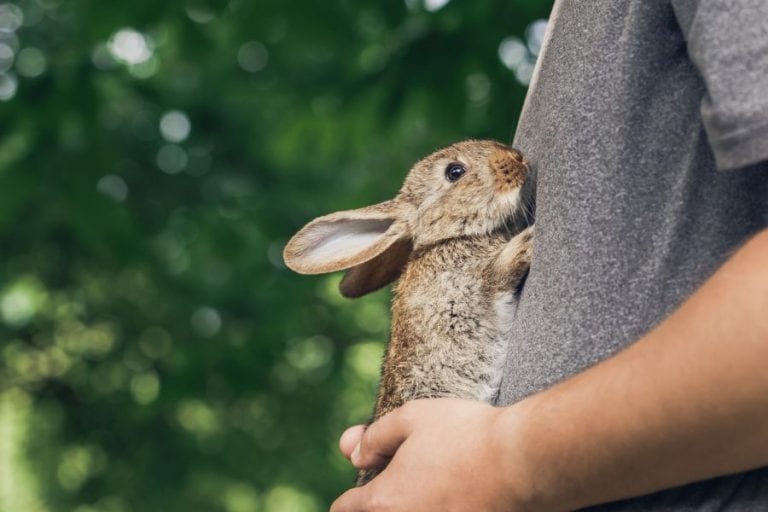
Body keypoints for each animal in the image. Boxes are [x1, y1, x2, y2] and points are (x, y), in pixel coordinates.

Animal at [283, 139, 534, 485]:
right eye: (454, 172)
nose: (516, 158)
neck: (450, 237)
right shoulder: (469, 288)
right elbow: (500, 270)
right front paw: (528, 240)